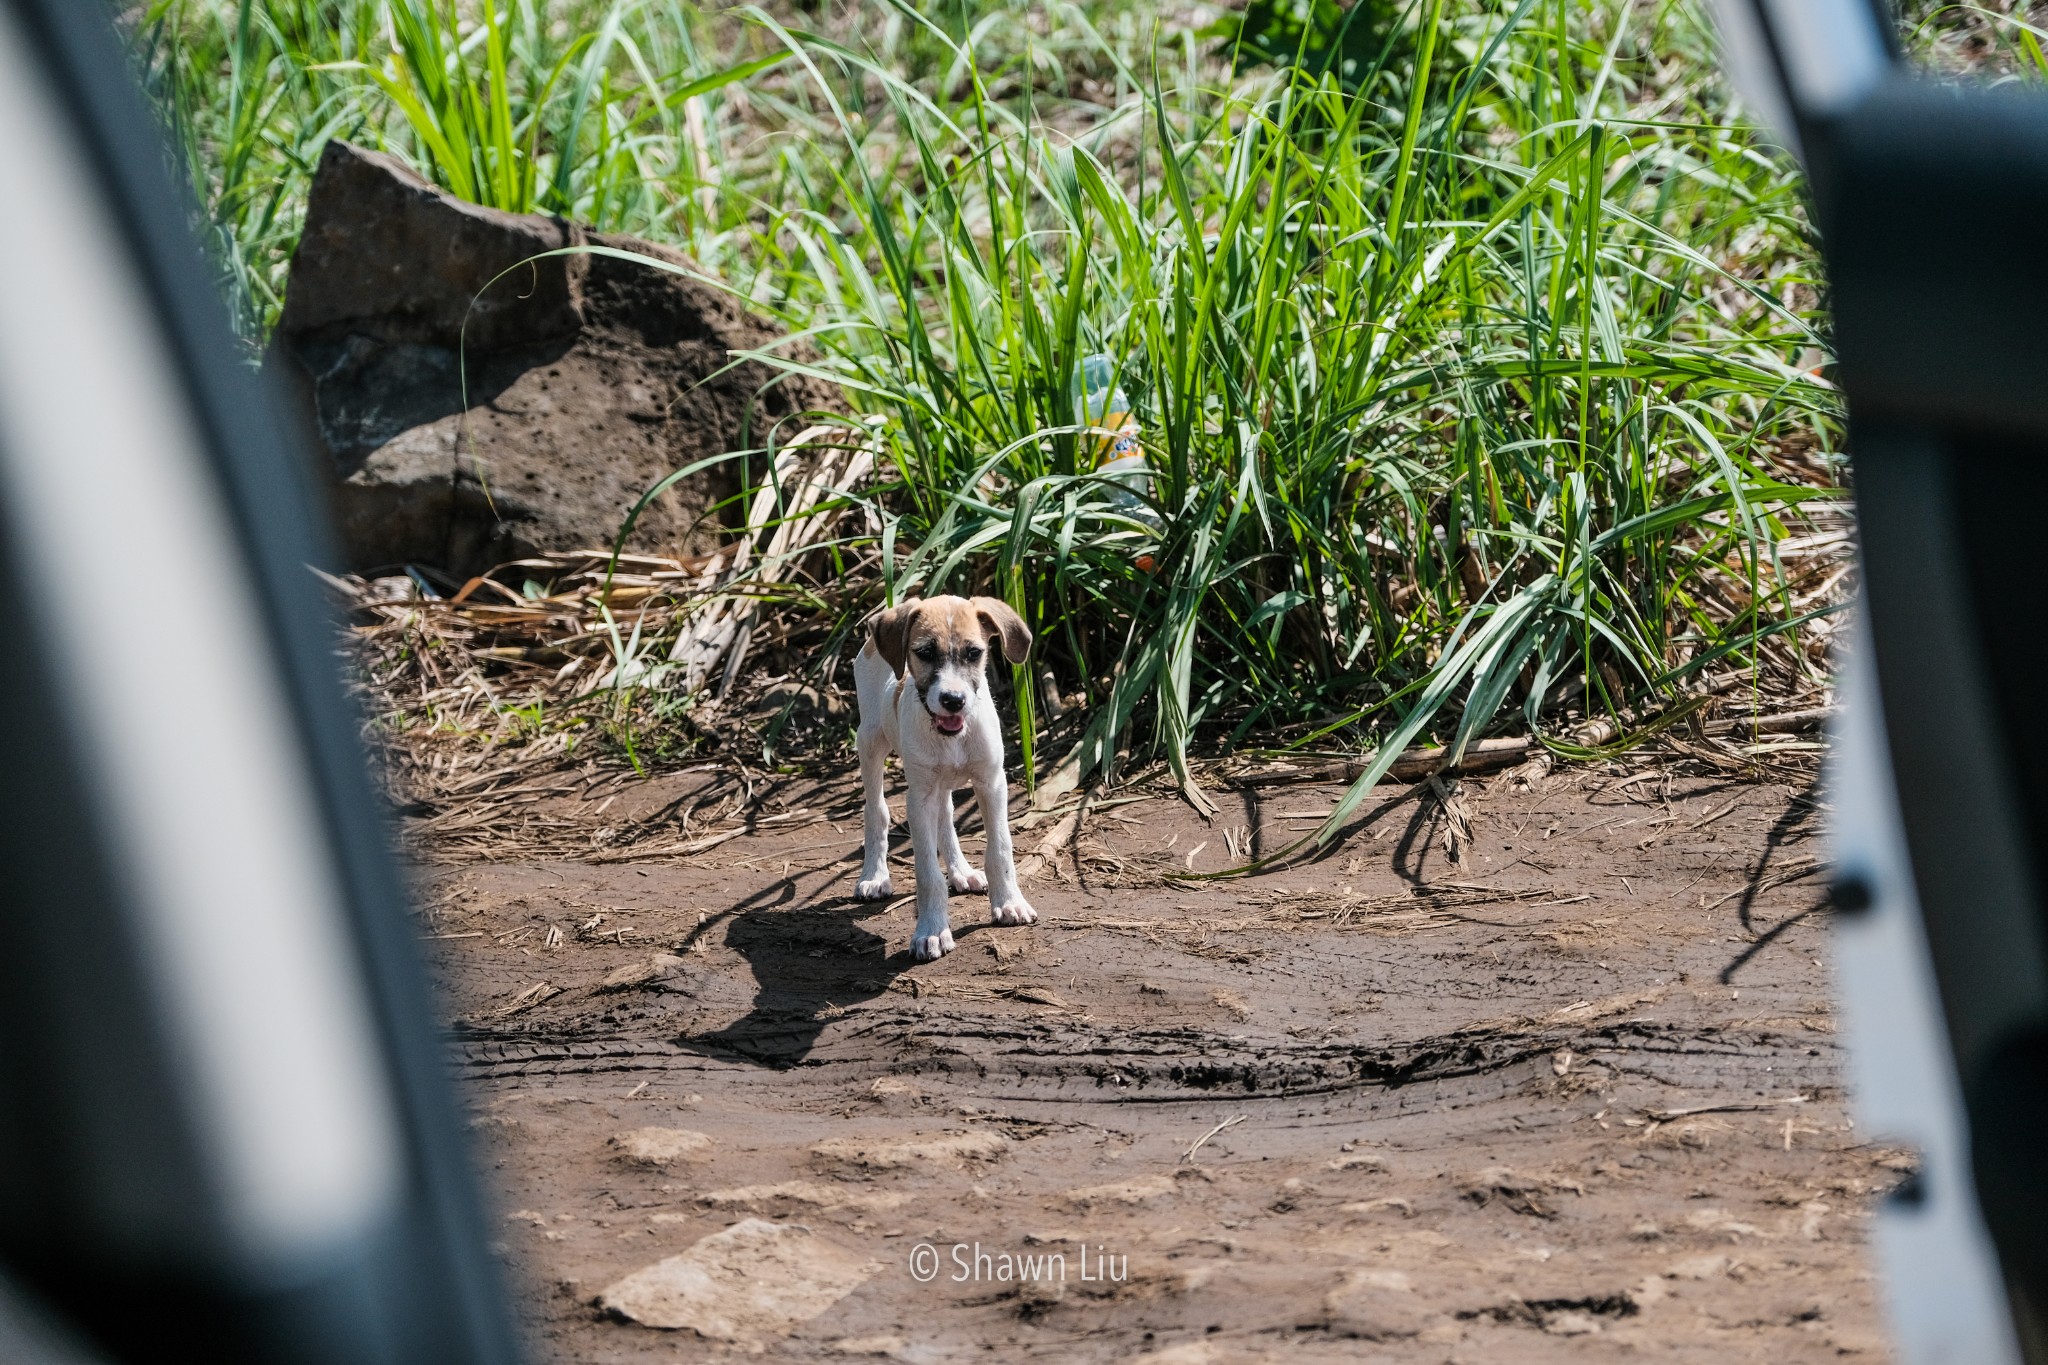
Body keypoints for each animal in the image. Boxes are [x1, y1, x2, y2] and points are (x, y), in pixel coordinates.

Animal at [851, 593, 1032, 961]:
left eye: (974, 653)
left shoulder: (992, 783)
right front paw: (931, 931)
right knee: (876, 812)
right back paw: (875, 876)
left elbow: (1000, 848)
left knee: (946, 817)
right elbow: (927, 873)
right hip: (871, 742)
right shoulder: (918, 797)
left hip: (941, 782)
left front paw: (1009, 902)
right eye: (924, 653)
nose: (953, 700)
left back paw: (962, 872)